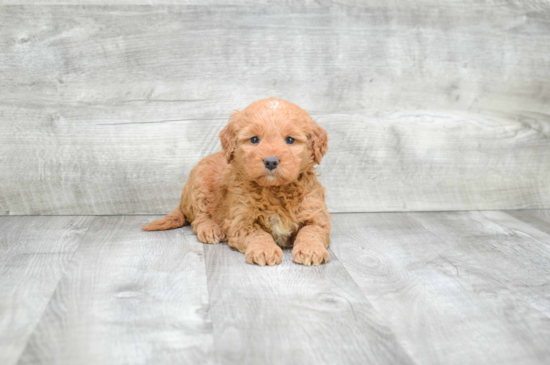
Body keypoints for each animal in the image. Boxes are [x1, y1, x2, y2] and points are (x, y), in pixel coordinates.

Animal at [143, 96, 332, 264]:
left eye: (290, 139)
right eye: (254, 139)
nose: (271, 161)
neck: (274, 190)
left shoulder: (316, 214)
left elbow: (311, 231)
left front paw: (311, 250)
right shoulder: (240, 220)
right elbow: (257, 233)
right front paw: (265, 249)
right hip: (198, 187)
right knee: (199, 216)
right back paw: (210, 229)